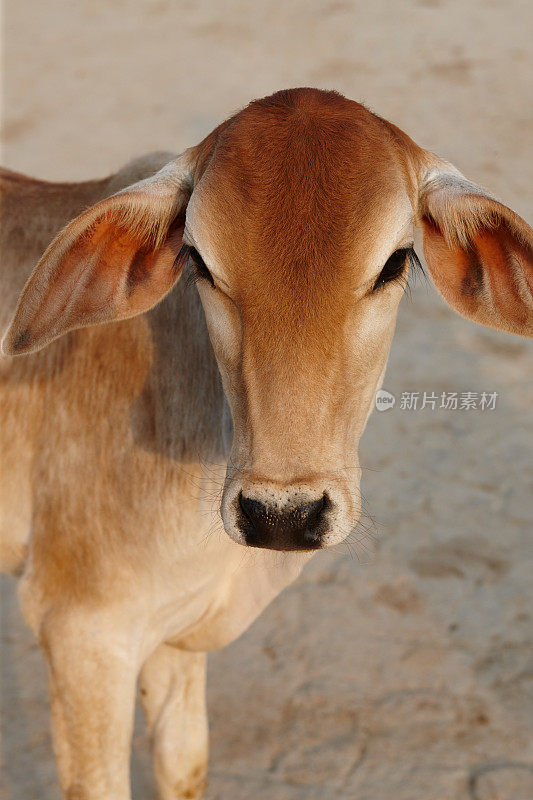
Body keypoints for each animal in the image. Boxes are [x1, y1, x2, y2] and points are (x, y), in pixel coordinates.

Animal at [1, 89, 532, 800]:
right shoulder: (81, 631)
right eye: (198, 260)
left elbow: (184, 761)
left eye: (396, 261)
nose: (282, 515)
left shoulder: (172, 639)